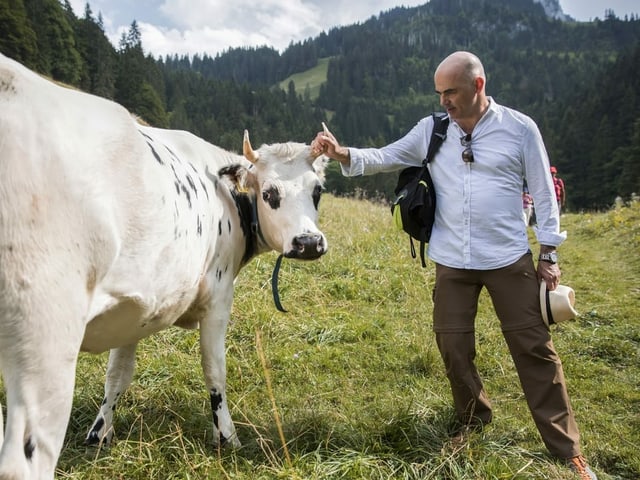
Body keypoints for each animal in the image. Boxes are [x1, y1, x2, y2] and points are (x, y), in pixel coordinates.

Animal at [0, 53, 328, 480]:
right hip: (45, 334)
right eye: (270, 192)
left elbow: (117, 375)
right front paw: (227, 437)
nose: (309, 243)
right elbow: (215, 369)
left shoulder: (134, 304)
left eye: (318, 190)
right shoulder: (219, 297)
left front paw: (100, 433)